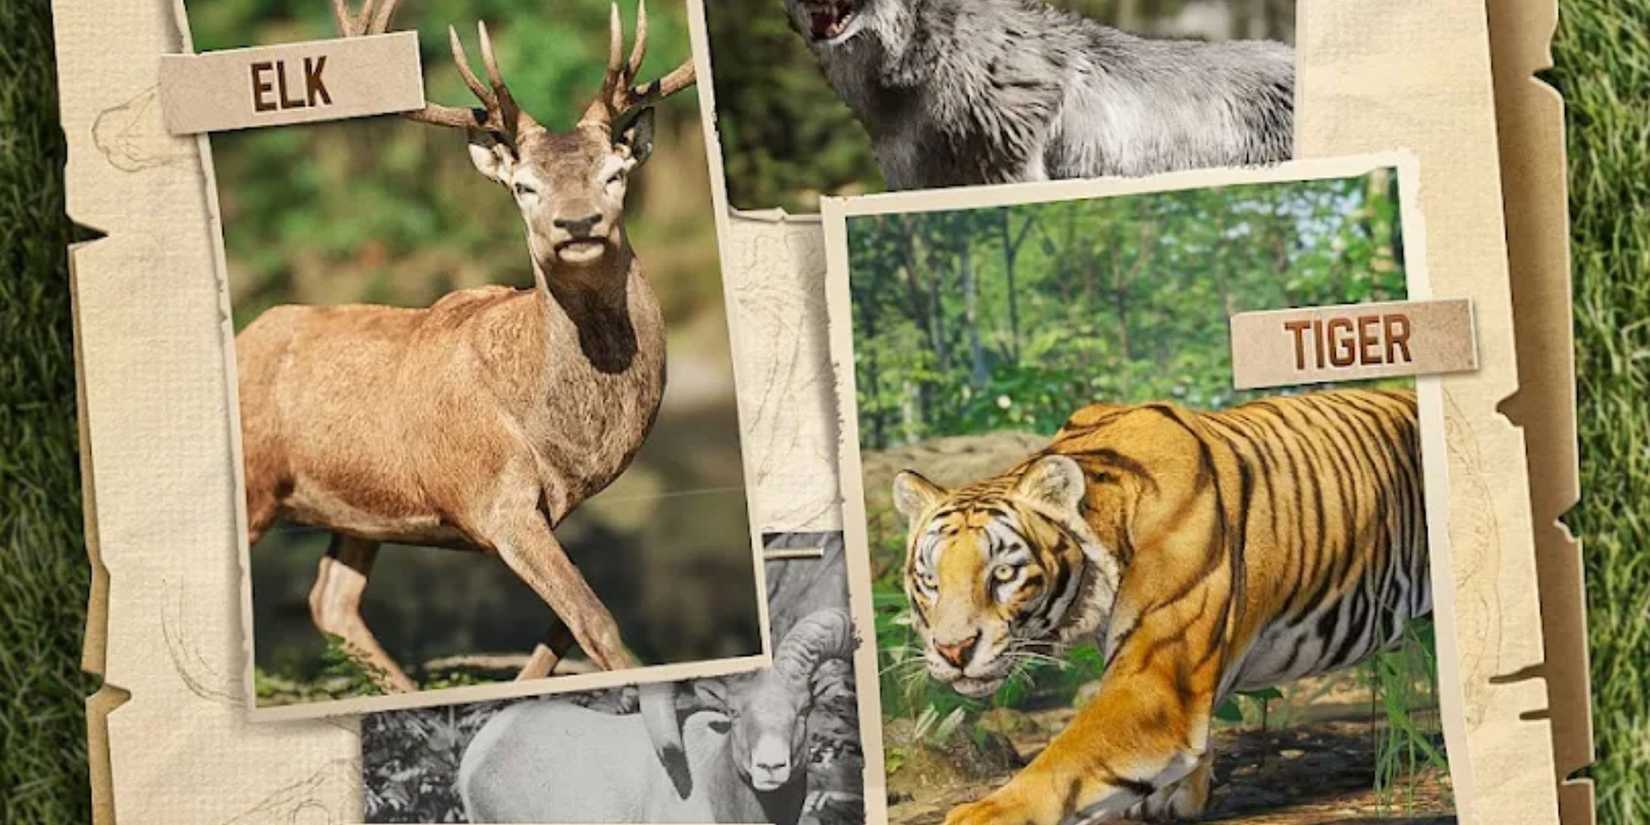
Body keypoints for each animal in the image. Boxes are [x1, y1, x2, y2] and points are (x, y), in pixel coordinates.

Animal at [235, 0, 696, 737]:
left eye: (615, 172)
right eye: (524, 185)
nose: (578, 223)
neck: (562, 437)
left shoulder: (544, 511)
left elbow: (565, 628)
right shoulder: (492, 497)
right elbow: (595, 619)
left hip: (356, 512)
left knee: (331, 601)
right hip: (257, 482)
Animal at [888, 388, 1428, 825]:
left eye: (1002, 574)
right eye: (931, 581)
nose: (954, 650)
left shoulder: (1155, 681)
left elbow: (1066, 755)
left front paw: (985, 811)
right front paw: (1176, 797)